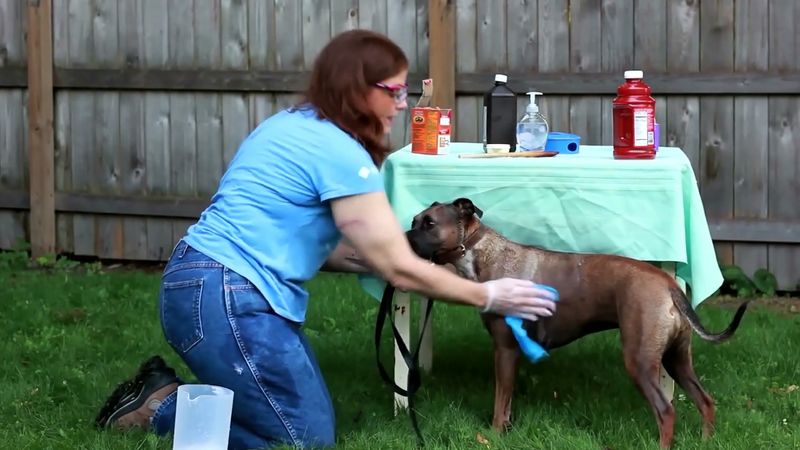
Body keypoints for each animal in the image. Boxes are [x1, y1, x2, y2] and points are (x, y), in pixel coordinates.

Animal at [406, 198, 752, 450]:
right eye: (414, 221)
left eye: (430, 223)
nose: (403, 239)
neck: (480, 252)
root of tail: (668, 285)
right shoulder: (511, 353)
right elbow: (507, 404)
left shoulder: (504, 349)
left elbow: (499, 403)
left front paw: (493, 434)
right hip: (677, 359)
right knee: (705, 401)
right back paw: (706, 441)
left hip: (640, 360)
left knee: (666, 412)